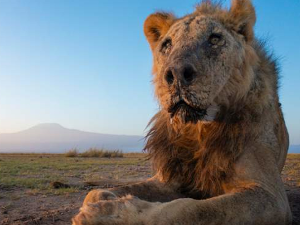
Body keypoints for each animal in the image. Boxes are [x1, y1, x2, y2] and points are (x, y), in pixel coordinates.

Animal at [72, 0, 292, 224]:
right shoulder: (170, 178)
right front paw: (105, 198)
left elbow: (188, 209)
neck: (197, 130)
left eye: (214, 39)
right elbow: (96, 192)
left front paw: (107, 213)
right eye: (167, 45)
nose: (176, 73)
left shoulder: (271, 196)